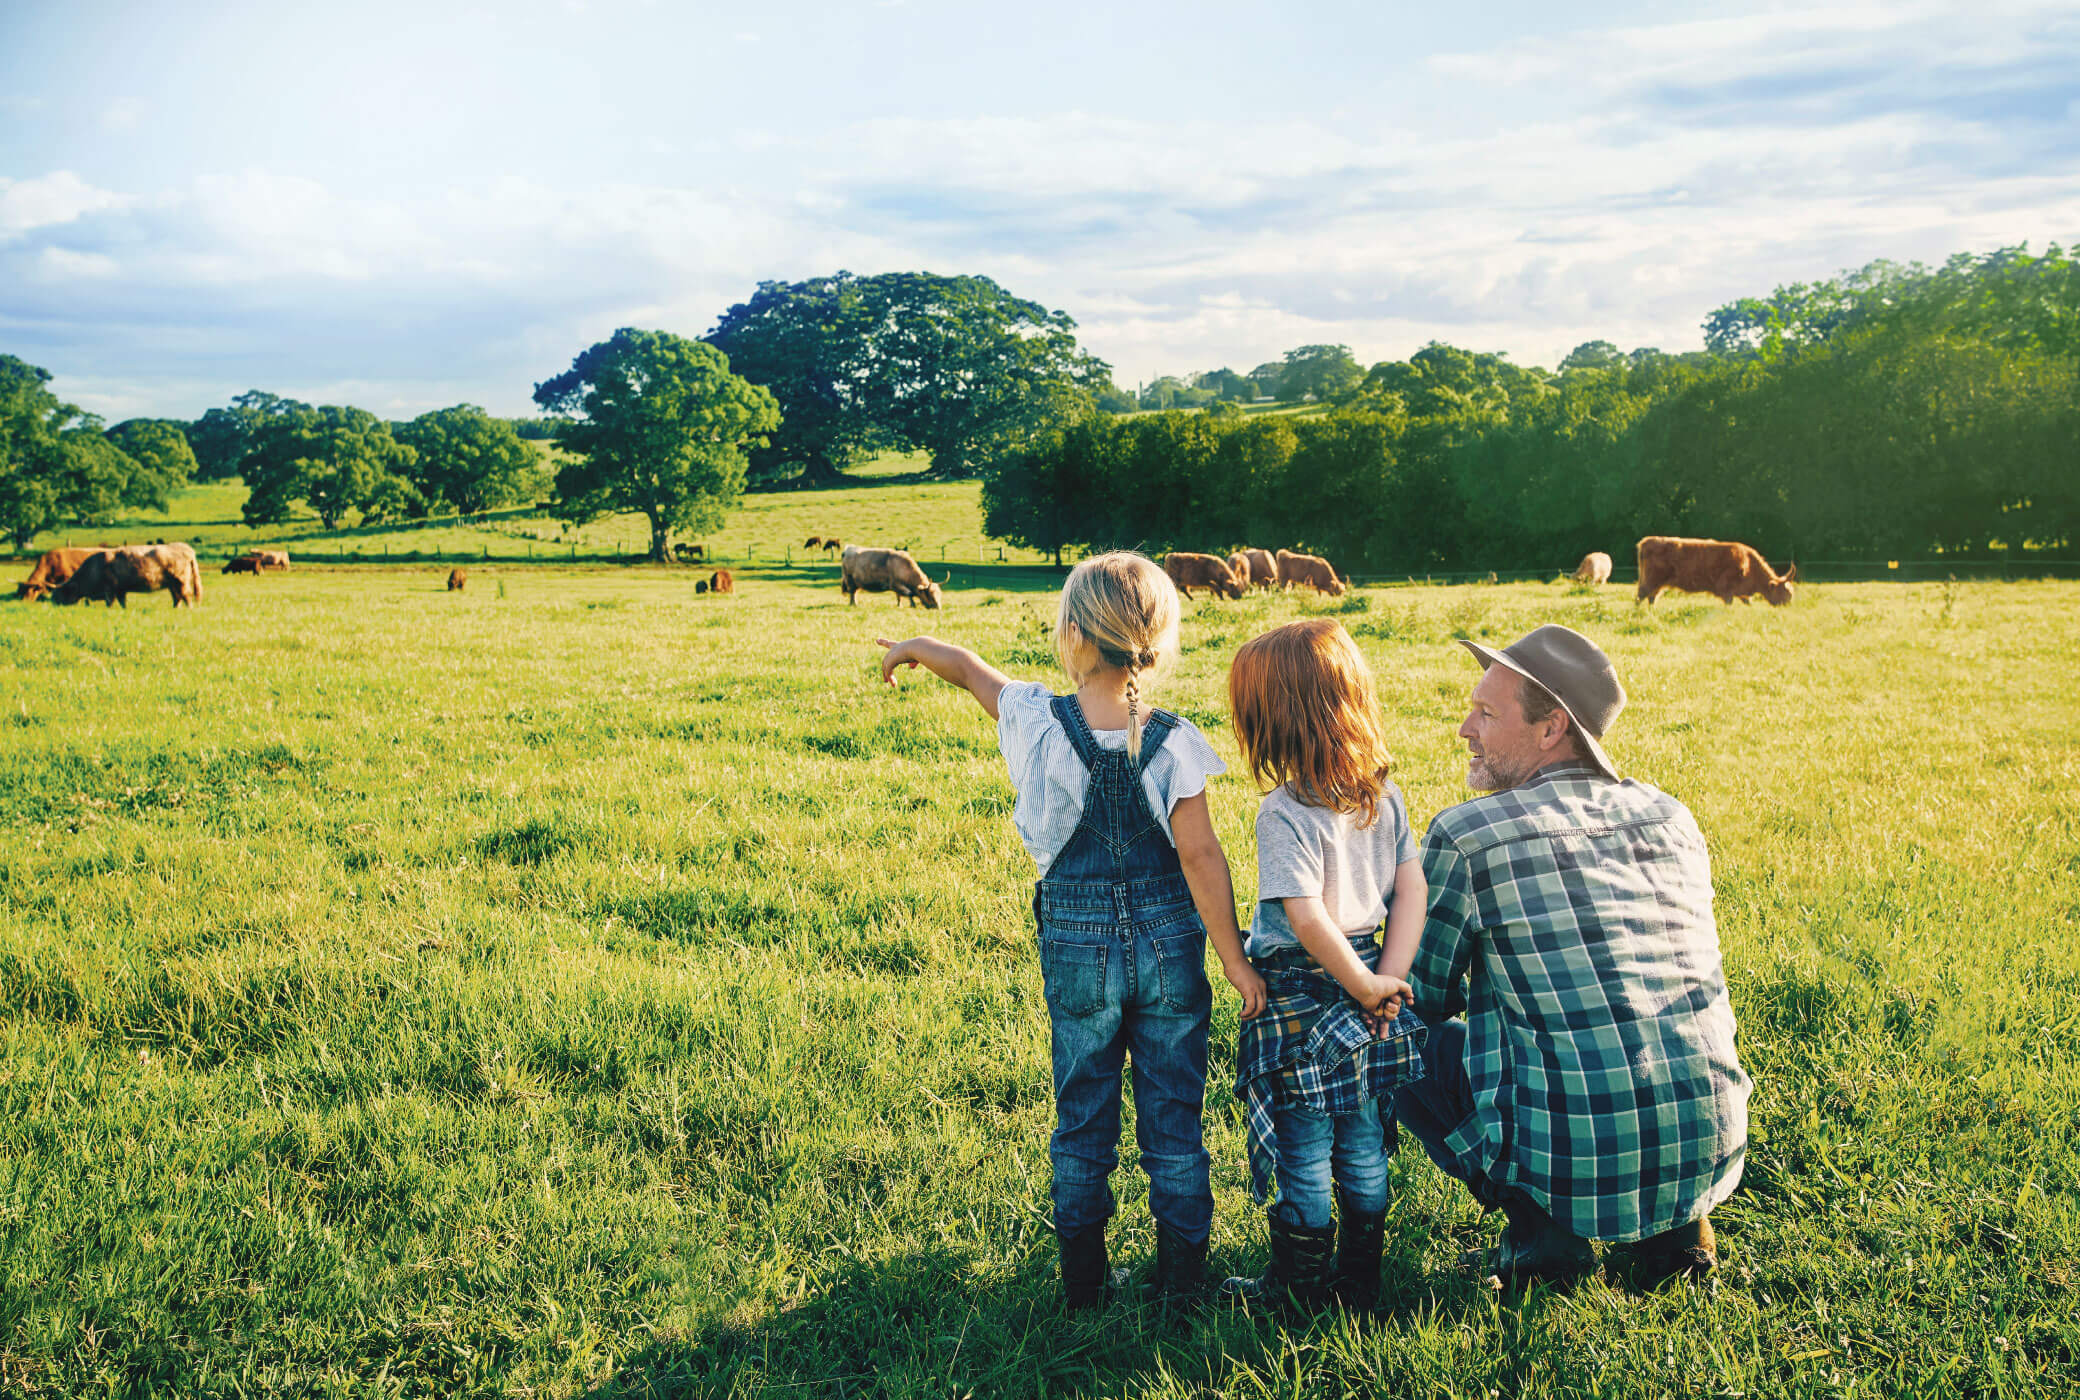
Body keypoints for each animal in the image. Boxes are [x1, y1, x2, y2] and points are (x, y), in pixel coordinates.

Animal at [49, 545, 200, 607]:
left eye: (59, 593)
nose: (53, 604)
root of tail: (186, 548)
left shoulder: (110, 589)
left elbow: (110, 602)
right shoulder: (121, 590)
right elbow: (123, 603)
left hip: (181, 581)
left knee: (186, 596)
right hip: (172, 584)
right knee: (177, 598)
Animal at [1630, 532, 1797, 603]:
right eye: (1786, 592)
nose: (1788, 606)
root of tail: (1646, 541)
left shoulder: (1742, 593)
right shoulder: (1726, 590)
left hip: (1656, 584)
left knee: (1651, 597)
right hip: (1650, 580)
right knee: (1640, 597)